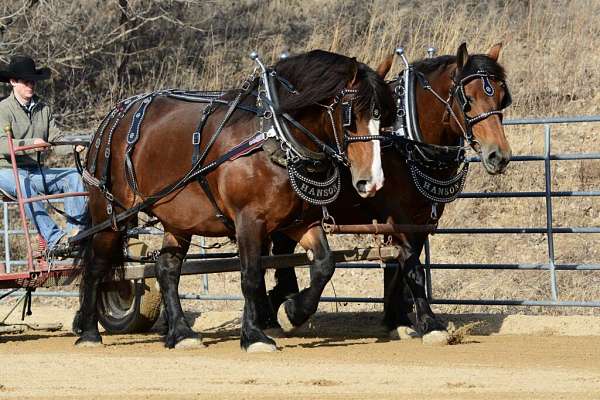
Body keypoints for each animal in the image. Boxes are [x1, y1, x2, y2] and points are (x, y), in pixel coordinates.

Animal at [72, 49, 396, 350]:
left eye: (384, 116)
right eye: (350, 115)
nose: (372, 181)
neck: (275, 137)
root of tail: (113, 117)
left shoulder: (299, 222)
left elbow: (324, 264)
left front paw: (293, 312)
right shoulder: (248, 220)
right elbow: (251, 275)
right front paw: (254, 336)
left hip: (178, 219)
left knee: (166, 269)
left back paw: (181, 333)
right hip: (111, 213)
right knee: (96, 265)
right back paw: (88, 333)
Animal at [270, 43, 512, 344]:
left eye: (502, 98)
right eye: (467, 99)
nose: (498, 156)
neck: (404, 140)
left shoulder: (419, 221)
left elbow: (400, 265)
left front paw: (396, 319)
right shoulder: (397, 217)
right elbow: (412, 267)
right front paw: (430, 323)